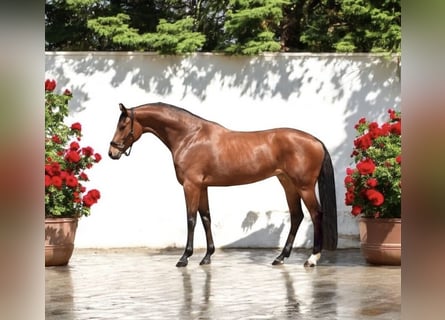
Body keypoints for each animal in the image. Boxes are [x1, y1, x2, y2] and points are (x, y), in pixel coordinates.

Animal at [108, 102, 336, 268]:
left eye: (122, 126)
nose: (112, 152)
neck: (190, 136)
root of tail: (315, 141)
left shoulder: (190, 186)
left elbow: (191, 219)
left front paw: (184, 258)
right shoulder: (202, 187)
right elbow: (206, 218)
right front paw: (207, 256)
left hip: (304, 187)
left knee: (316, 215)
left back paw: (312, 259)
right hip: (288, 184)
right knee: (297, 215)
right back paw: (280, 258)